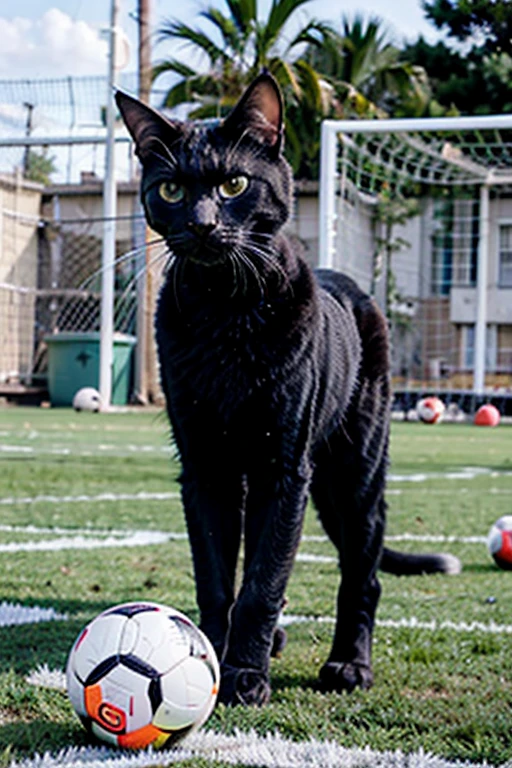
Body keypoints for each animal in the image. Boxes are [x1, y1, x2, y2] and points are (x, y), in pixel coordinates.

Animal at [116, 73, 460, 708]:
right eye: (171, 189)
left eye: (234, 183)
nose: (202, 224)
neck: (225, 311)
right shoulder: (207, 469)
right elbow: (219, 577)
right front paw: (215, 659)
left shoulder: (283, 466)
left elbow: (262, 581)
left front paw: (244, 676)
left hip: (354, 475)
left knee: (363, 578)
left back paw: (349, 665)